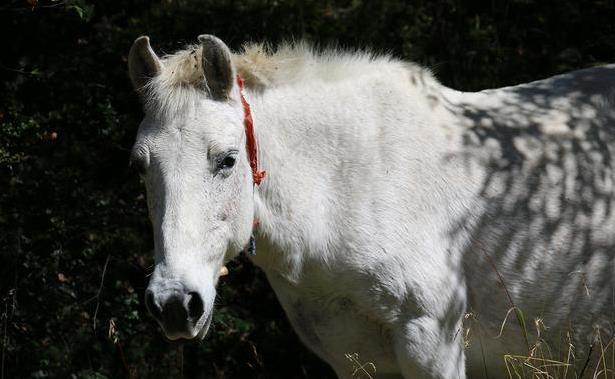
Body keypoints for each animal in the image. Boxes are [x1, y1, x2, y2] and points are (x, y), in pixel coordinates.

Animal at [127, 34, 612, 378]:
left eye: (227, 160)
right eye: (139, 165)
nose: (174, 304)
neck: (349, 189)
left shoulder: (431, 345)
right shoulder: (355, 360)